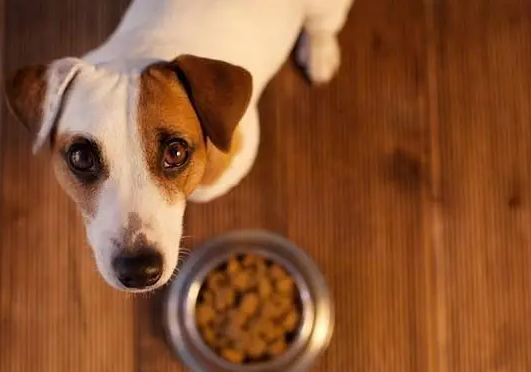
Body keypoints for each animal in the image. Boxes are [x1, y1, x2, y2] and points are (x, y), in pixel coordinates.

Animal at [4, 0, 356, 294]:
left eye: (175, 153)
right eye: (81, 157)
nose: (139, 271)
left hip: (325, 8)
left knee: (322, 25)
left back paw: (320, 54)